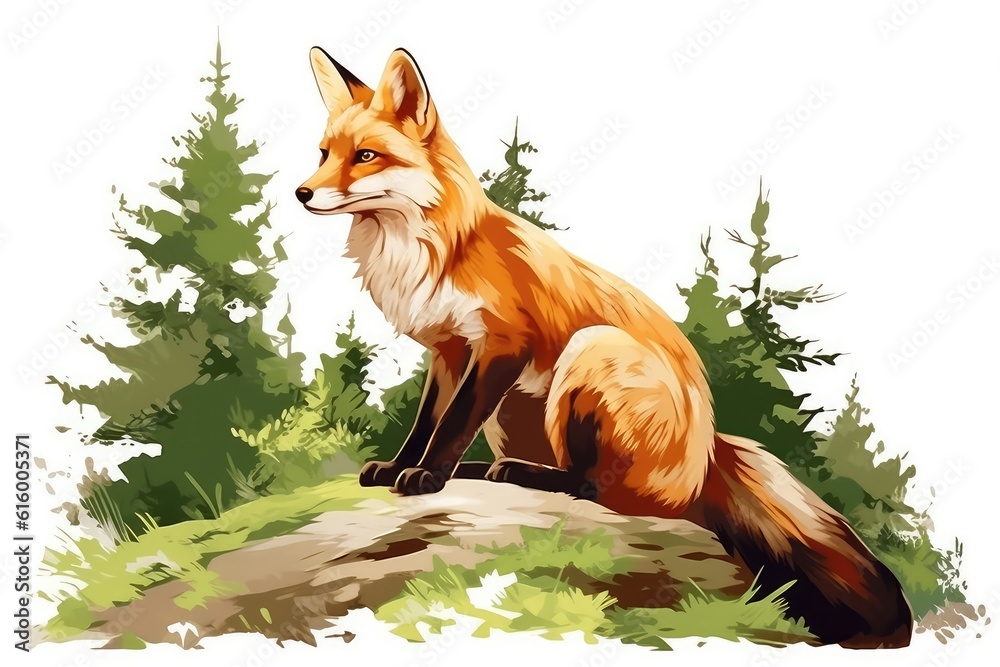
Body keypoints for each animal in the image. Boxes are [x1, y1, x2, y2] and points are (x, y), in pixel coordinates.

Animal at [295, 46, 914, 648]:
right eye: (324, 152)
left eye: (366, 156)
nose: (301, 192)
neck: (433, 251)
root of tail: (709, 451)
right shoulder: (448, 350)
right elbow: (427, 422)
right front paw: (402, 467)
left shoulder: (500, 344)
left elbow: (451, 424)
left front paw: (426, 477)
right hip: (519, 409)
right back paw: (485, 470)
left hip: (588, 350)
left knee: (593, 486)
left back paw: (517, 476)